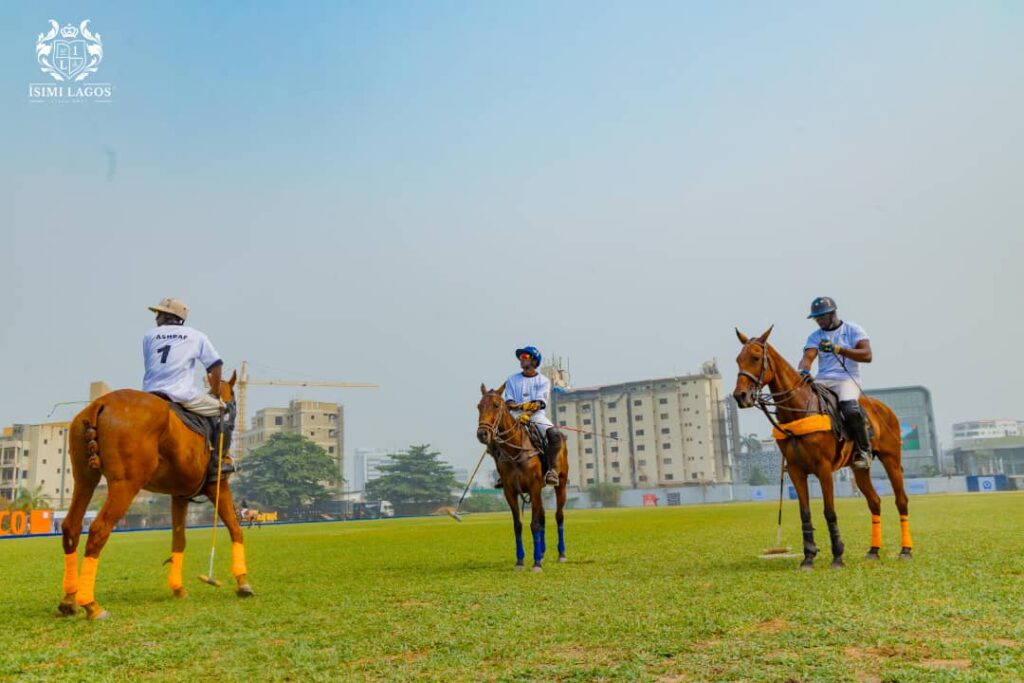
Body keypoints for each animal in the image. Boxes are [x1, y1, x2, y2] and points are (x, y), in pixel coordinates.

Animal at [57, 371, 253, 620]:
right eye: (232, 404)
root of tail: (98, 404)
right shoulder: (217, 484)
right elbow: (235, 529)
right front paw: (243, 583)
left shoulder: (180, 495)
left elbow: (179, 540)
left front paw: (178, 588)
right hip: (126, 484)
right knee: (99, 529)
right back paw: (91, 605)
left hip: (84, 479)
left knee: (71, 526)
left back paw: (69, 600)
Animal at [477, 383, 568, 572]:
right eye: (479, 406)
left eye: (496, 405)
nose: (482, 434)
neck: (515, 449)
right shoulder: (510, 491)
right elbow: (518, 525)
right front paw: (520, 561)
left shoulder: (533, 487)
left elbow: (534, 524)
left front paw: (536, 564)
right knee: (542, 516)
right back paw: (541, 552)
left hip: (561, 483)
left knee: (559, 515)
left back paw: (561, 554)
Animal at [732, 327, 913, 569]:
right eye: (738, 359)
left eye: (756, 357)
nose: (740, 396)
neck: (798, 410)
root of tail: (884, 408)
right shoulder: (796, 470)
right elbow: (805, 512)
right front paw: (808, 557)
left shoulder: (824, 468)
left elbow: (829, 512)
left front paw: (837, 556)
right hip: (859, 469)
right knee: (874, 502)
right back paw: (873, 550)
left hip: (891, 458)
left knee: (901, 500)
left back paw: (906, 550)